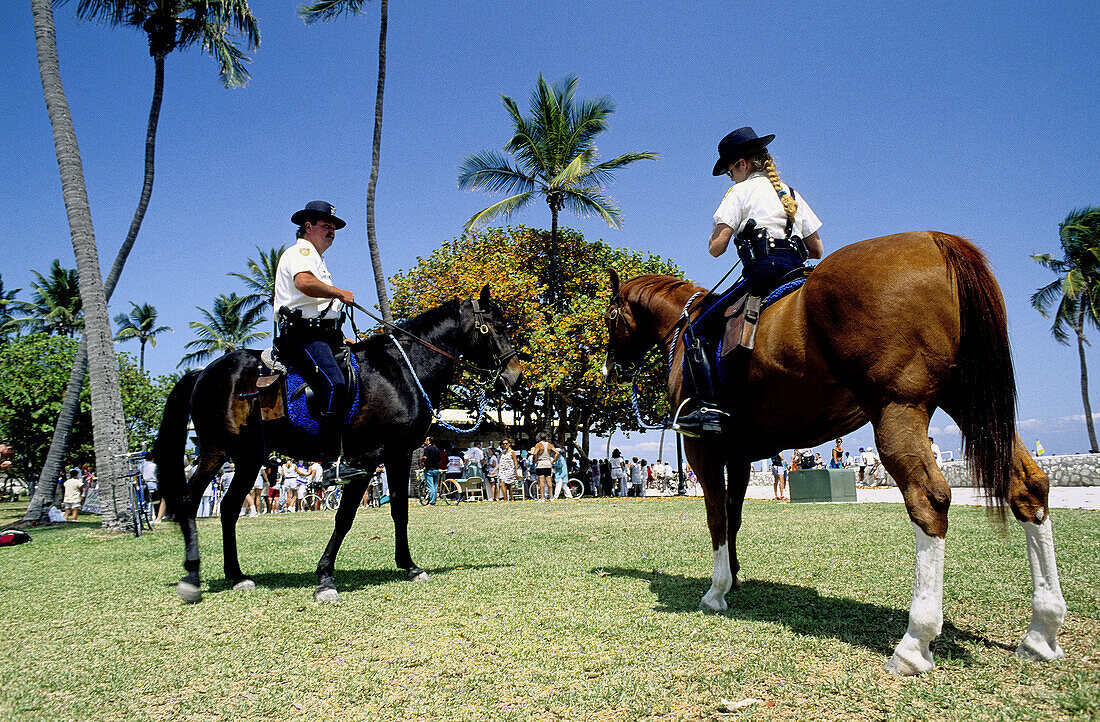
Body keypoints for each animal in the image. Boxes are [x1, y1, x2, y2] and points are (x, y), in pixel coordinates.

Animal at [154, 288, 523, 603]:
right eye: (495, 326)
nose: (514, 374)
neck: (401, 371)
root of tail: (204, 372)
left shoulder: (399, 454)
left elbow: (399, 511)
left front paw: (409, 566)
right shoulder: (368, 458)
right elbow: (344, 517)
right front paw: (325, 577)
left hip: (249, 457)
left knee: (229, 508)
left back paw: (237, 576)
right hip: (218, 451)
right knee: (188, 502)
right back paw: (192, 578)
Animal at [602, 234, 1064, 673]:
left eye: (609, 317)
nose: (608, 369)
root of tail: (937, 240)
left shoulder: (704, 451)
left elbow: (716, 517)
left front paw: (716, 591)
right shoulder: (739, 455)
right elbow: (733, 518)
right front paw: (732, 578)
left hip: (897, 410)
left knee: (929, 500)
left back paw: (915, 643)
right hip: (970, 403)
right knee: (1029, 486)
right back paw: (1042, 631)